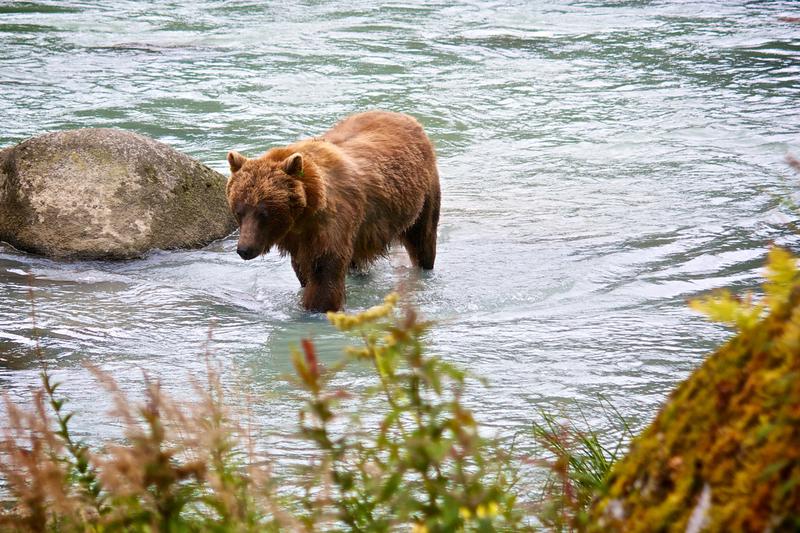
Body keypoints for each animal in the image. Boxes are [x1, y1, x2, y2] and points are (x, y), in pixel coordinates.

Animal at [227, 111, 444, 312]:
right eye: (239, 211)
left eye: (263, 213)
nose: (244, 249)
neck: (305, 212)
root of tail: (405, 116)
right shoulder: (298, 239)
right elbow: (303, 270)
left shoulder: (333, 222)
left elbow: (324, 272)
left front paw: (315, 309)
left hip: (423, 195)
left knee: (422, 238)